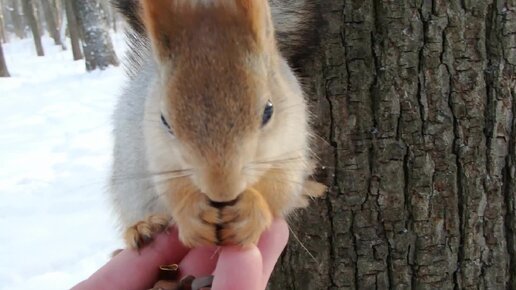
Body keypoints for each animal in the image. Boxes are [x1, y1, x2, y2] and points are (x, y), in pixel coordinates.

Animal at [111, 0, 324, 249]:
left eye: (268, 110)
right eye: (165, 121)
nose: (222, 193)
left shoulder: (292, 141)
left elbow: (280, 188)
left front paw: (253, 211)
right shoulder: (157, 150)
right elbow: (171, 187)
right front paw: (191, 213)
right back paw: (142, 228)